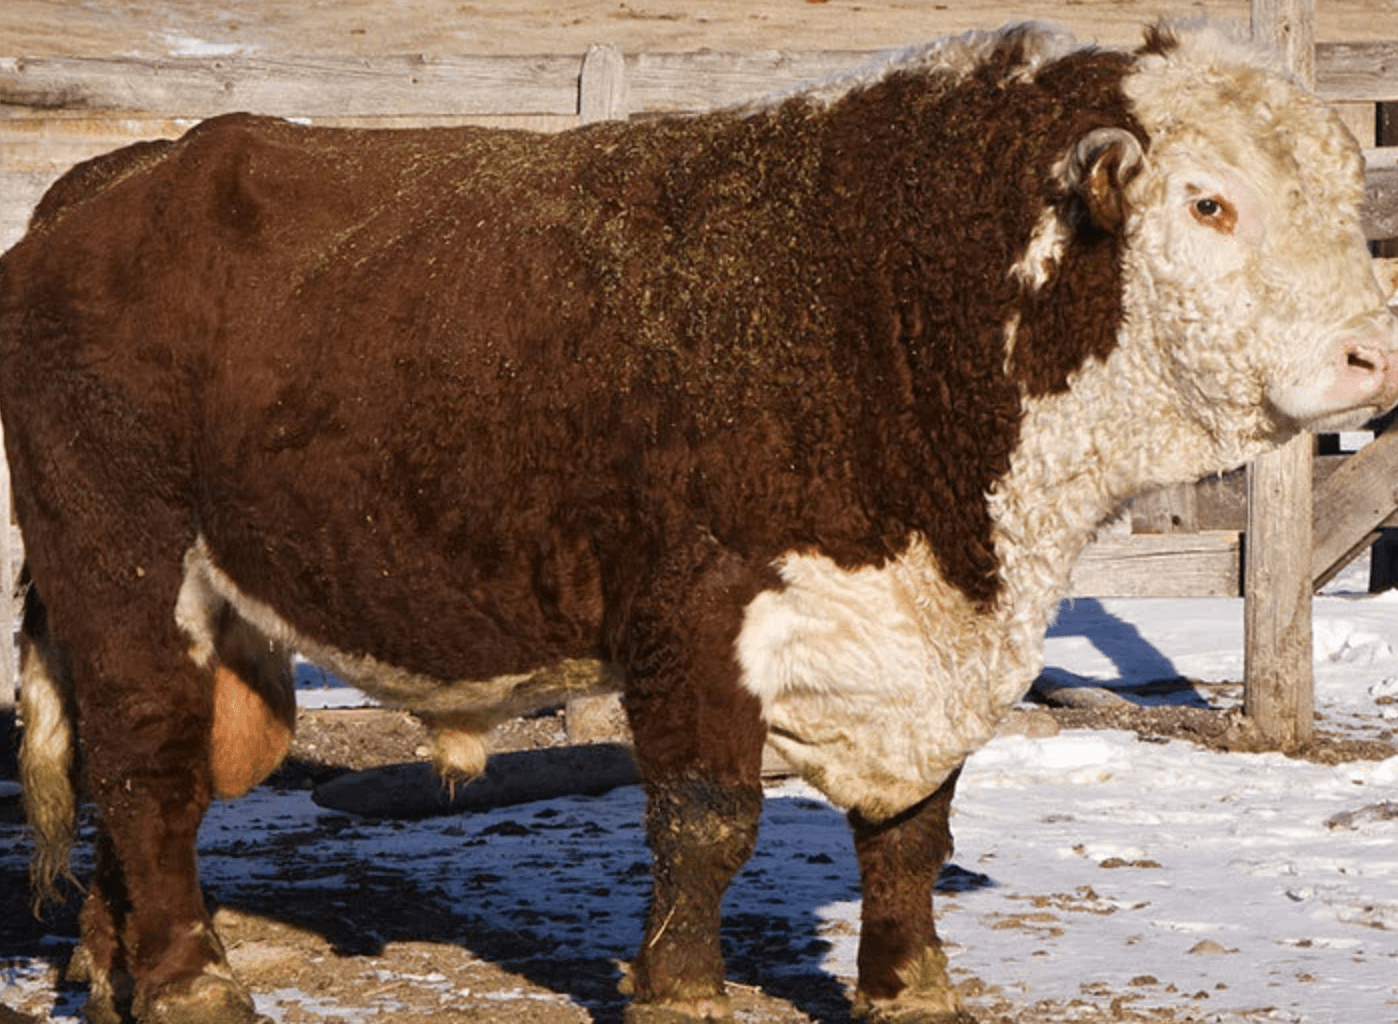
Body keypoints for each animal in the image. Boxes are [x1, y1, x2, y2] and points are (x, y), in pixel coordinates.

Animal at [2, 18, 1398, 1024]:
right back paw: (189, 980)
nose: (1370, 354)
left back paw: (114, 971)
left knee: (151, 777)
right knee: (145, 764)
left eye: (1342, 195)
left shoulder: (922, 649)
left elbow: (913, 829)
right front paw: (682, 994)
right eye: (1210, 202)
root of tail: (115, 180)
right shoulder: (693, 612)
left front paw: (911, 989)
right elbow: (707, 823)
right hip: (119, 561)